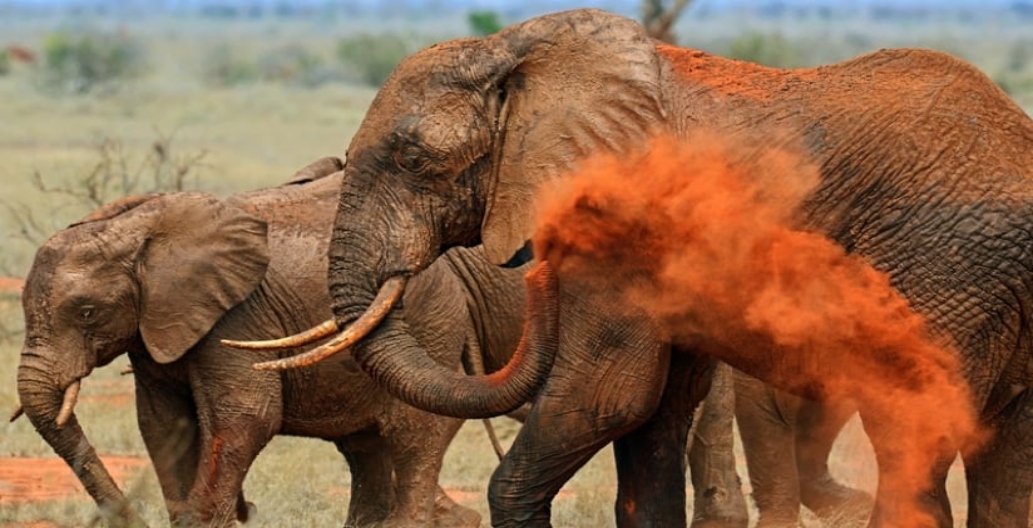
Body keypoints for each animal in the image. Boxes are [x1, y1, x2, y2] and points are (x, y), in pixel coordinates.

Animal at [239, 7, 1033, 528]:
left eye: (412, 159)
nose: (533, 268)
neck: (517, 53)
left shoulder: (615, 224)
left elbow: (608, 396)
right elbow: (653, 414)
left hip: (945, 275)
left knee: (912, 447)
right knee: (1005, 468)